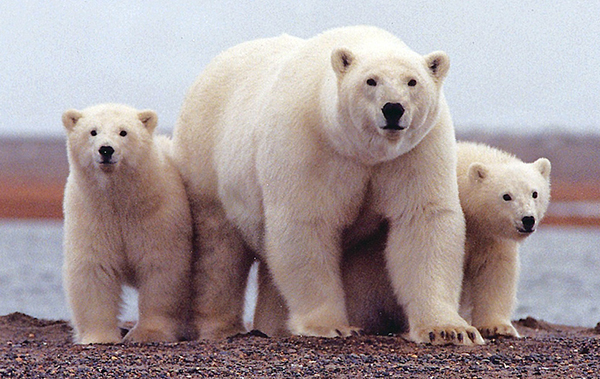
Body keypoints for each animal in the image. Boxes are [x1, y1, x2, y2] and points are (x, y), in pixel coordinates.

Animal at [172, 26, 482, 348]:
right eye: (371, 80)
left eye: (412, 81)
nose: (393, 109)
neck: (362, 151)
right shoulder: (310, 143)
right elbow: (307, 223)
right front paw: (330, 325)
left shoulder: (416, 151)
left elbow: (423, 220)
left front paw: (449, 330)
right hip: (206, 158)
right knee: (218, 250)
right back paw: (220, 327)